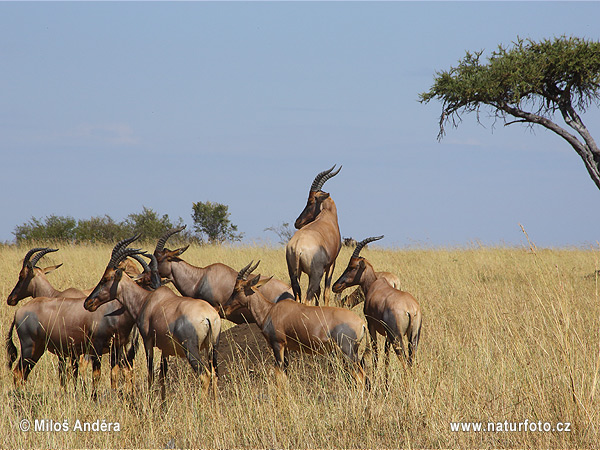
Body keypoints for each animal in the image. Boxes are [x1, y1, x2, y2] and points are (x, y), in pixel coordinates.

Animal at [85, 237, 223, 400]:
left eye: (106, 278)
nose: (88, 303)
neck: (147, 299)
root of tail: (209, 316)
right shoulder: (165, 348)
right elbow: (162, 375)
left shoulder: (148, 341)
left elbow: (150, 372)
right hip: (212, 348)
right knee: (214, 374)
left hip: (191, 350)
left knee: (204, 375)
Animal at [221, 262, 368, 388]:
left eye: (237, 288)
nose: (224, 309)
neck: (270, 309)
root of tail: (361, 323)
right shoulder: (286, 348)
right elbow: (285, 375)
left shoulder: (278, 345)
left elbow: (279, 375)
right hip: (353, 352)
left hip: (347, 351)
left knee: (360, 377)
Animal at [286, 165, 342, 306]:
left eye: (310, 201)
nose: (297, 222)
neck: (327, 214)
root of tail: (297, 246)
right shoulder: (331, 264)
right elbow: (326, 292)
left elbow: (319, 292)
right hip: (316, 275)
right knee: (307, 299)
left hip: (294, 274)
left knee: (298, 297)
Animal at [332, 237, 422, 382]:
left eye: (352, 266)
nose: (336, 286)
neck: (376, 285)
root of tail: (411, 308)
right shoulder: (387, 335)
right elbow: (386, 355)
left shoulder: (371, 325)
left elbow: (375, 352)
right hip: (413, 337)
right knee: (411, 358)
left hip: (397, 337)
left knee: (403, 358)